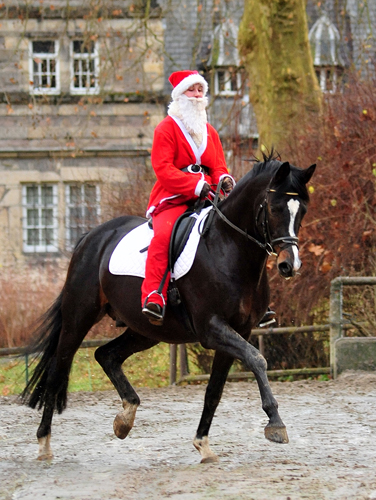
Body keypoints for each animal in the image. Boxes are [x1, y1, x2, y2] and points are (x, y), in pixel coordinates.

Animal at [20, 151, 314, 460]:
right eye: (274, 208)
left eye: (302, 211)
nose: (290, 265)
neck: (229, 248)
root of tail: (89, 238)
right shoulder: (212, 329)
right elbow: (257, 359)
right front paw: (275, 423)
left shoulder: (238, 332)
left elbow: (215, 390)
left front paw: (203, 443)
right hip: (79, 318)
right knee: (58, 370)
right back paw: (44, 442)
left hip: (145, 330)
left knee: (106, 355)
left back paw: (125, 418)